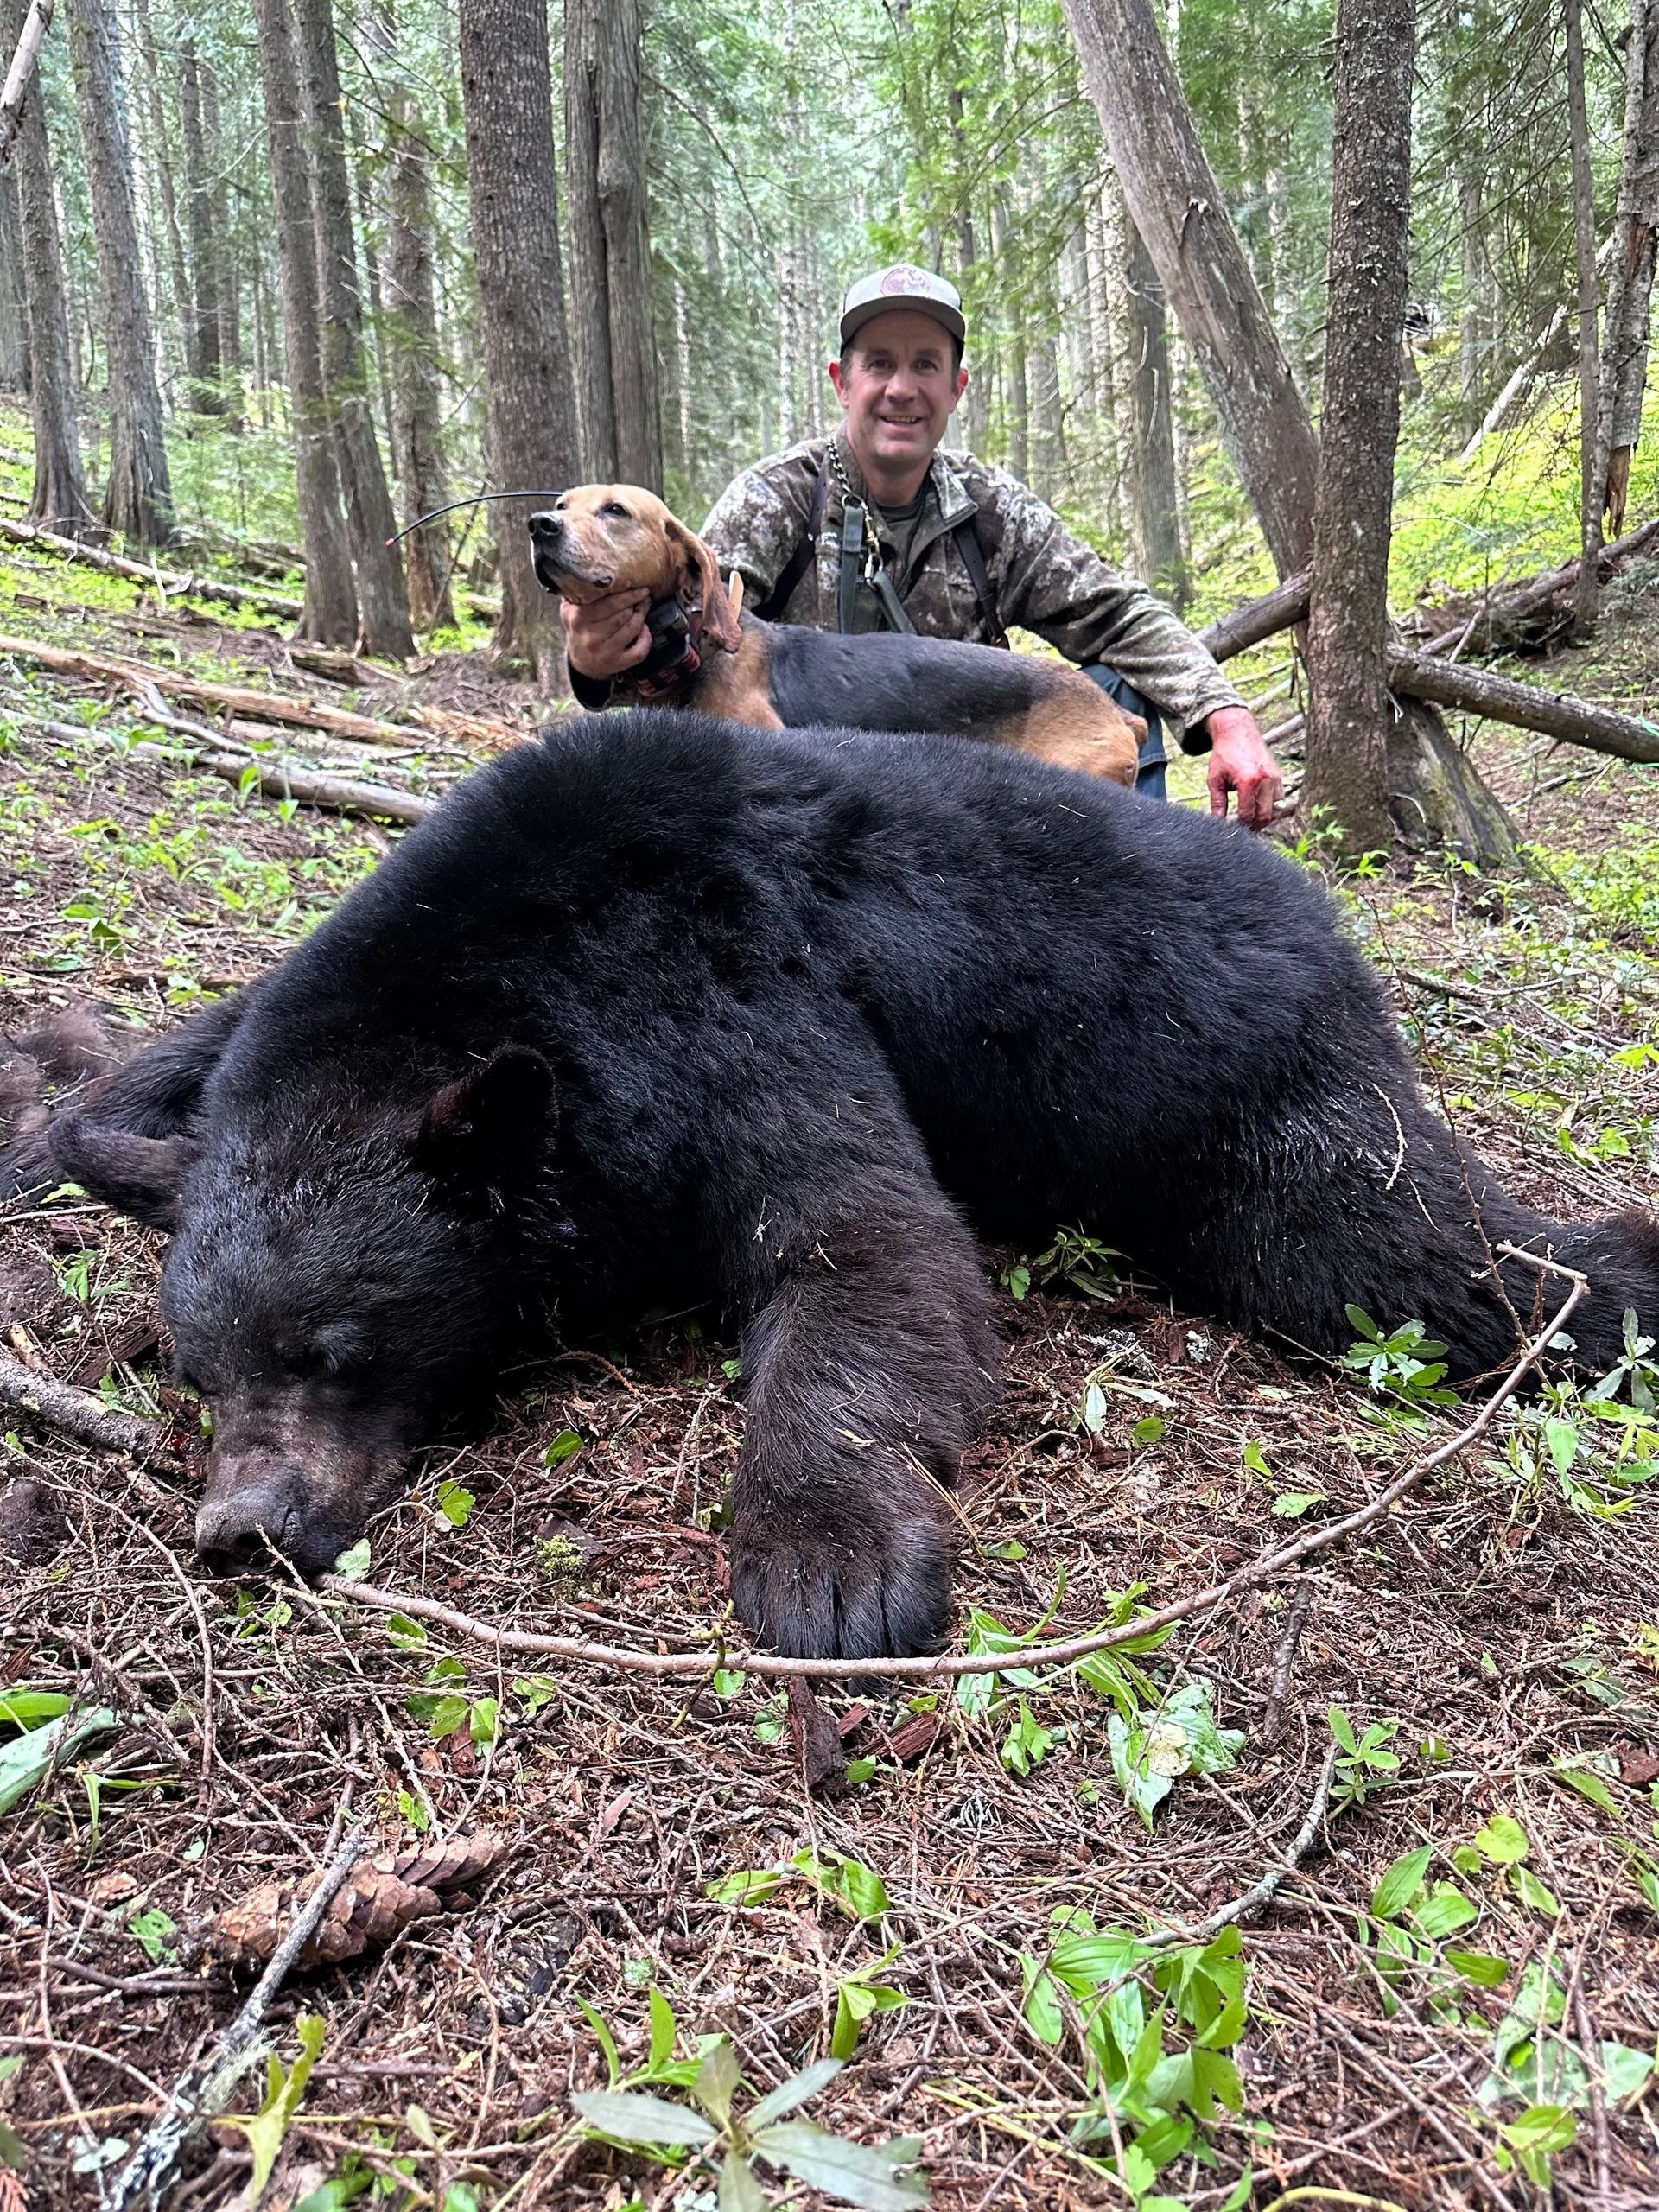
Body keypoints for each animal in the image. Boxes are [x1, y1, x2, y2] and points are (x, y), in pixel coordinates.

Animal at [20, 709, 1658, 1661]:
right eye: (196, 1368)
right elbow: (170, 1060)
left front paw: (831, 1560)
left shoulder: (734, 991)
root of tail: (1329, 913)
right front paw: (60, 1112)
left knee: (1409, 1256)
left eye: (339, 1349)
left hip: (1253, 1100)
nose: (242, 1528)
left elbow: (865, 1246)